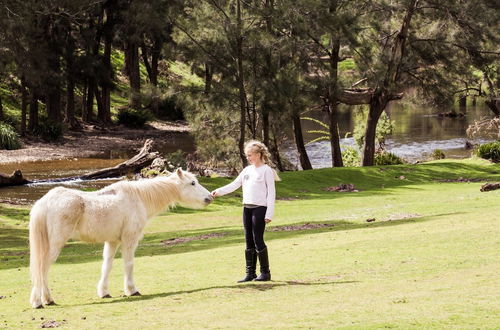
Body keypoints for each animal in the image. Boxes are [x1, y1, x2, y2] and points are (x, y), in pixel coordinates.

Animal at [28, 169, 213, 308]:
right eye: (193, 183)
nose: (210, 197)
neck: (138, 198)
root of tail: (45, 202)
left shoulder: (112, 242)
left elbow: (107, 266)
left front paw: (104, 292)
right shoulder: (129, 240)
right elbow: (129, 264)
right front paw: (132, 290)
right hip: (56, 244)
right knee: (42, 268)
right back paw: (41, 301)